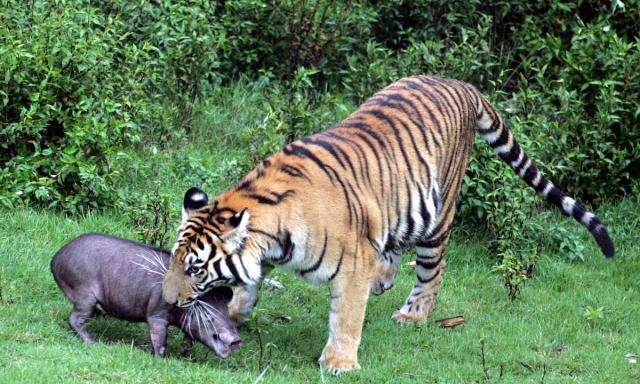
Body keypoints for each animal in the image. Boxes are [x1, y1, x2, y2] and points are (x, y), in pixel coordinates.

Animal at [162, 75, 612, 376]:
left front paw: (340, 362)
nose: (167, 301)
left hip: (438, 213)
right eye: (175, 260)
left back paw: (413, 315)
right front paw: (235, 313)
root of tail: (461, 83)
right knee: (394, 245)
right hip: (397, 204)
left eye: (196, 268)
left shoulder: (351, 261)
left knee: (432, 268)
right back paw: (382, 279)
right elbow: (249, 285)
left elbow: (346, 315)